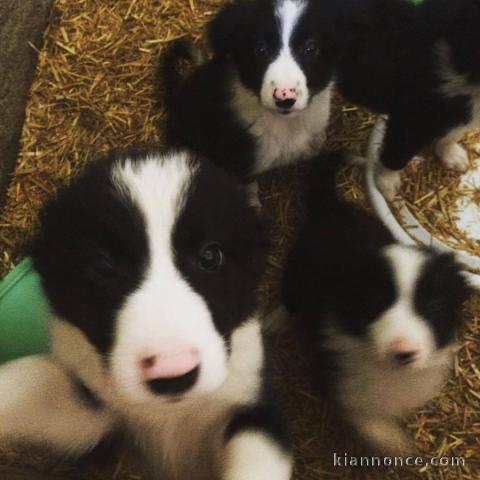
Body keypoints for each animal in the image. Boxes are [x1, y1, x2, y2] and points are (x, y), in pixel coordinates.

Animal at [0, 149, 292, 480]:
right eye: (102, 266)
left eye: (210, 256)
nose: (173, 373)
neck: (170, 413)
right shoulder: (96, 412)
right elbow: (31, 378)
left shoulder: (252, 403)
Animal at [278, 153, 468, 454]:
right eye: (376, 303)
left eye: (433, 308)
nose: (404, 352)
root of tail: (332, 207)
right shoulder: (332, 374)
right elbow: (366, 418)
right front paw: (398, 444)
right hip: (296, 274)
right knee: (289, 301)